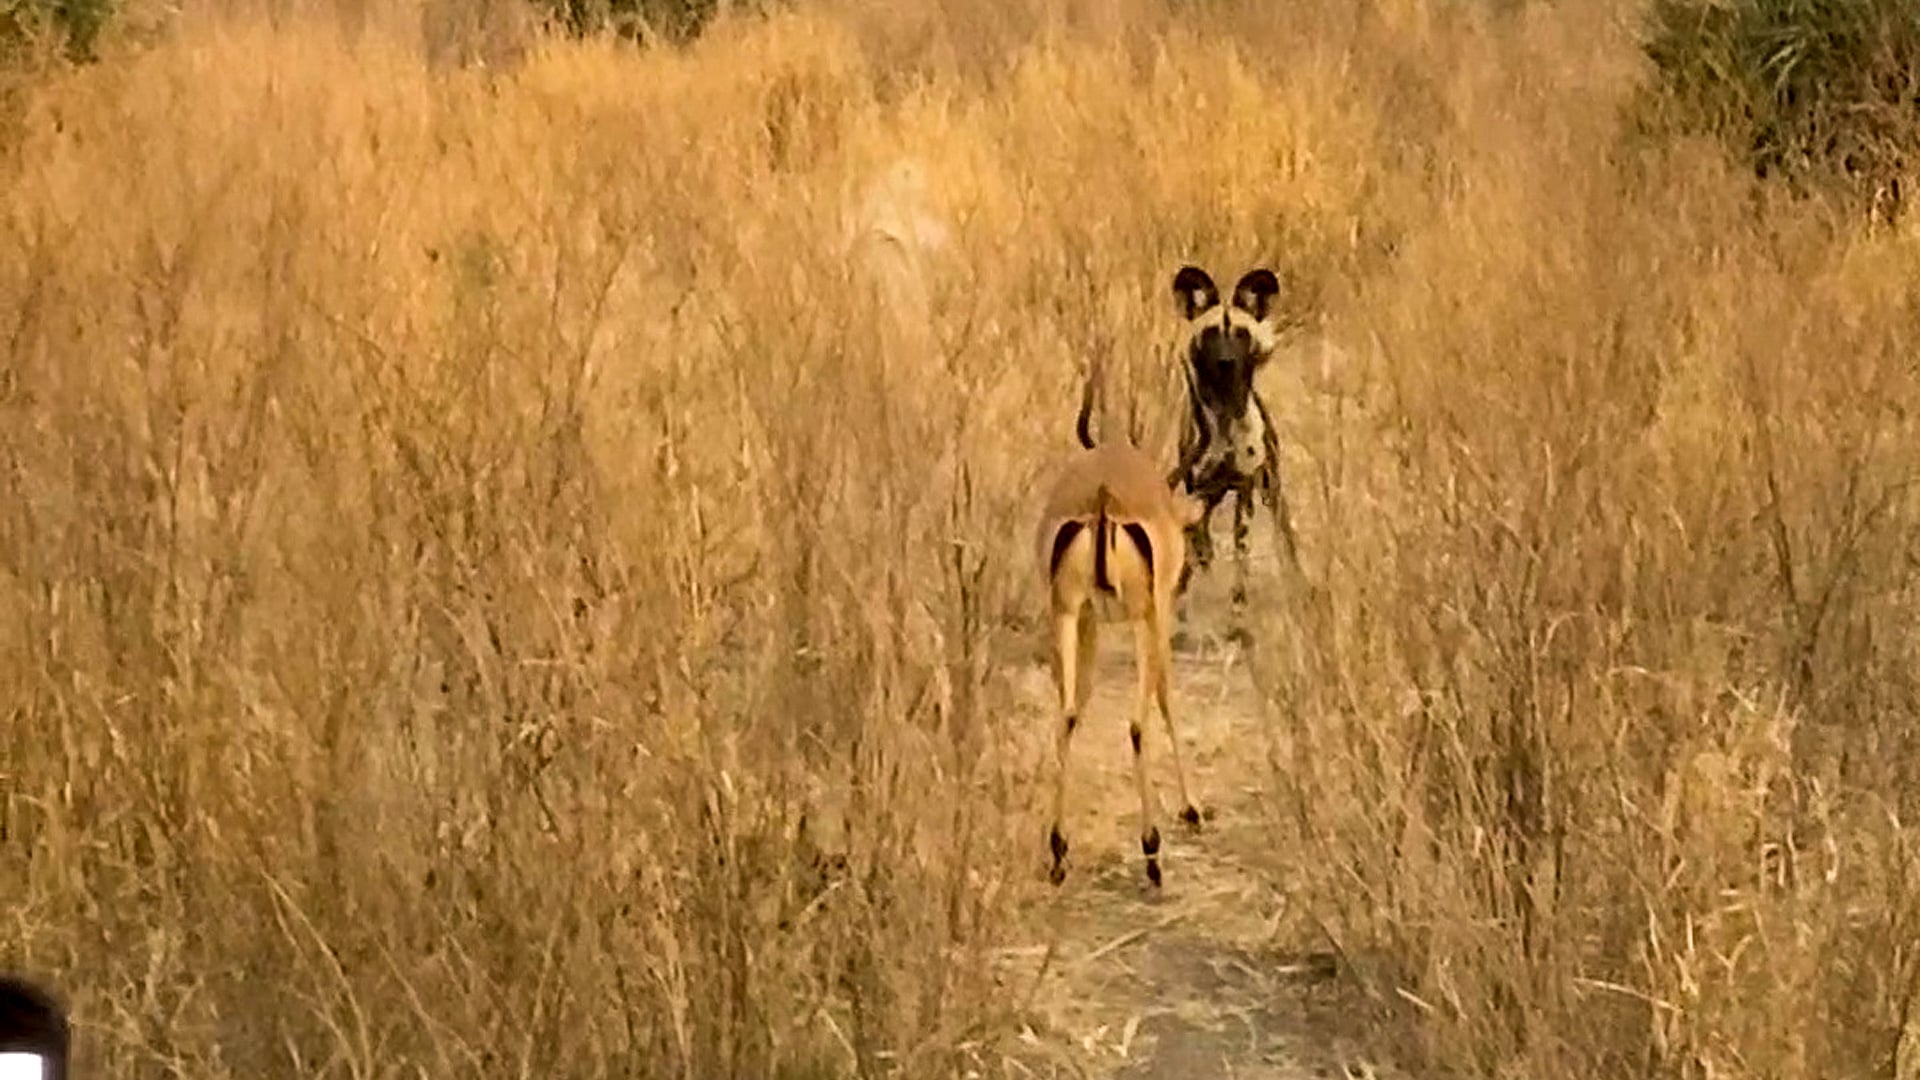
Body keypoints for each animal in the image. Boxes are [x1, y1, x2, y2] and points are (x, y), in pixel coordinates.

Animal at [1035, 362, 1208, 888]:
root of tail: (1103, 499)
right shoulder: (1156, 611)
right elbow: (1166, 695)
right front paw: (1192, 809)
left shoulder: (1090, 617)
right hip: (1140, 617)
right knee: (1136, 721)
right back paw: (1151, 851)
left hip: (1067, 612)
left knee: (1067, 714)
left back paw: (1058, 850)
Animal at [1166, 265, 1303, 634]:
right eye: (1212, 332)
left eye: (1241, 333)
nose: (1227, 361)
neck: (1226, 422)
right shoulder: (1197, 490)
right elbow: (1199, 548)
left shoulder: (1245, 491)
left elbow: (1242, 556)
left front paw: (1237, 615)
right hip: (1210, 495)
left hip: (1271, 489)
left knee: (1284, 533)